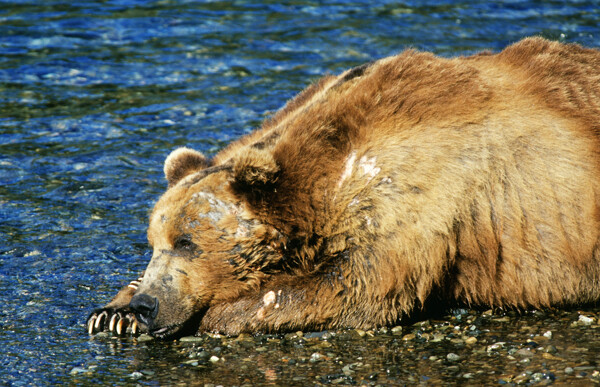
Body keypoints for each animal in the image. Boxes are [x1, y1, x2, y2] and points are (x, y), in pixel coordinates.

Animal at [86, 37, 600, 340]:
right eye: (154, 242)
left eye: (187, 242)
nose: (149, 306)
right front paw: (114, 311)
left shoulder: (419, 197)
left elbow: (355, 287)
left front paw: (222, 314)